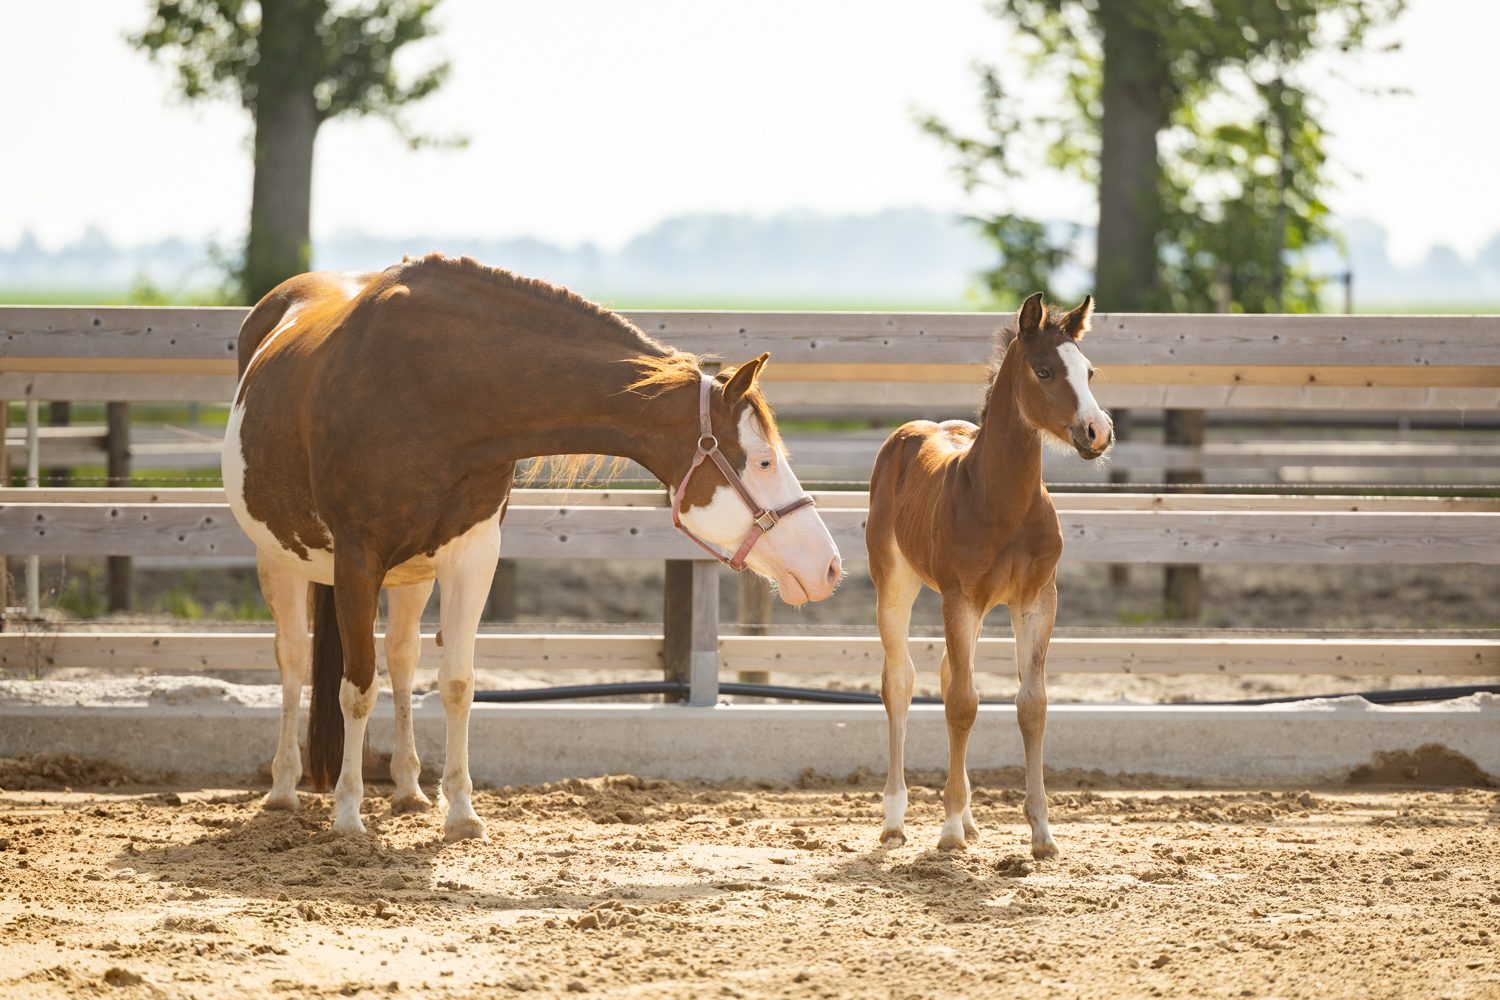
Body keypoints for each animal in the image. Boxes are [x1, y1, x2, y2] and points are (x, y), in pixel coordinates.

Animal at [222, 254, 843, 840]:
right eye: (763, 461)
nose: (830, 566)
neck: (433, 387)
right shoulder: (357, 558)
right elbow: (356, 689)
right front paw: (349, 815)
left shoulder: (471, 554)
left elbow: (456, 684)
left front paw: (461, 814)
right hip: (280, 560)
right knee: (294, 661)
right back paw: (283, 788)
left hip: (411, 575)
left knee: (401, 659)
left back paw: (408, 788)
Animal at [865, 292, 1112, 857]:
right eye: (1044, 370)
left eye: (1089, 371)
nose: (1098, 431)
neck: (1003, 502)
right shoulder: (959, 598)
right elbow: (962, 704)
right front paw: (949, 830)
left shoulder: (1038, 600)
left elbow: (1031, 704)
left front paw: (1042, 834)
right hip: (895, 582)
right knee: (900, 682)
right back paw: (896, 819)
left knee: (946, 674)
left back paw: (972, 819)